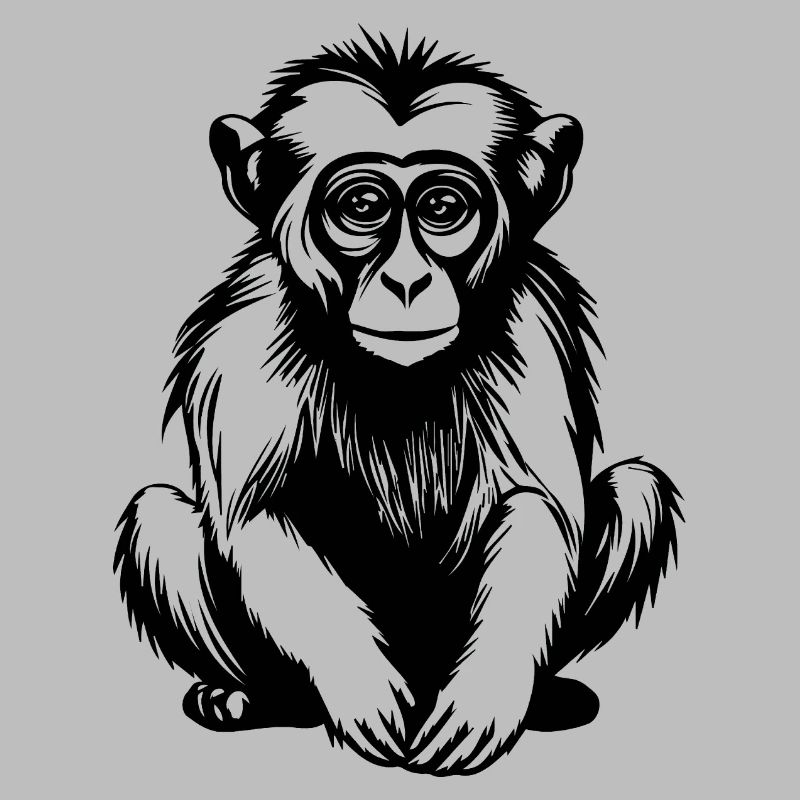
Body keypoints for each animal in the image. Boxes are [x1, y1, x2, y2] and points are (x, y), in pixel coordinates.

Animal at [114, 33, 683, 776]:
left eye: (442, 209)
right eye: (362, 206)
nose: (407, 280)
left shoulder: (532, 315)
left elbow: (539, 506)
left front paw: (486, 696)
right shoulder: (244, 331)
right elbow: (258, 511)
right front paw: (362, 686)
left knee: (637, 489)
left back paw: (548, 695)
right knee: (159, 520)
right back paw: (249, 696)